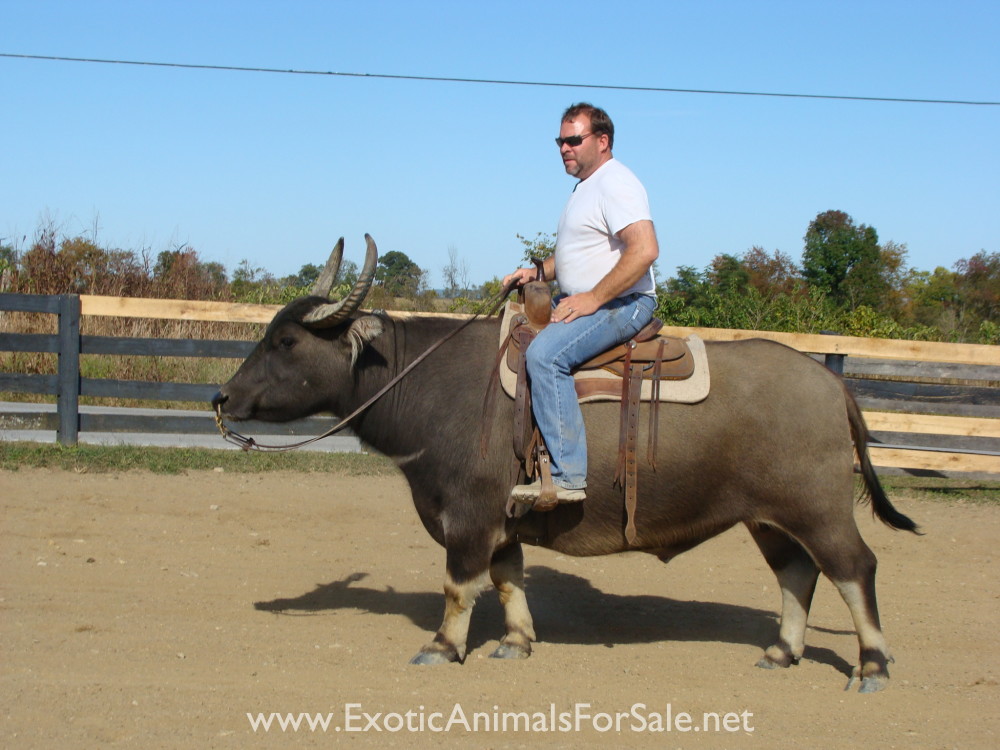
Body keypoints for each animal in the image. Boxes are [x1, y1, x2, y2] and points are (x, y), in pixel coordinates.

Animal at [213, 236, 918, 693]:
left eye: (286, 341)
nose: (222, 398)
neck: (431, 383)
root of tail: (831, 384)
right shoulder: (501, 525)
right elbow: (508, 581)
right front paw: (516, 642)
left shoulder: (468, 519)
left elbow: (459, 586)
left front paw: (442, 647)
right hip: (767, 518)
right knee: (798, 572)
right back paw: (780, 652)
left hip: (819, 508)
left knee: (854, 568)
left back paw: (874, 666)